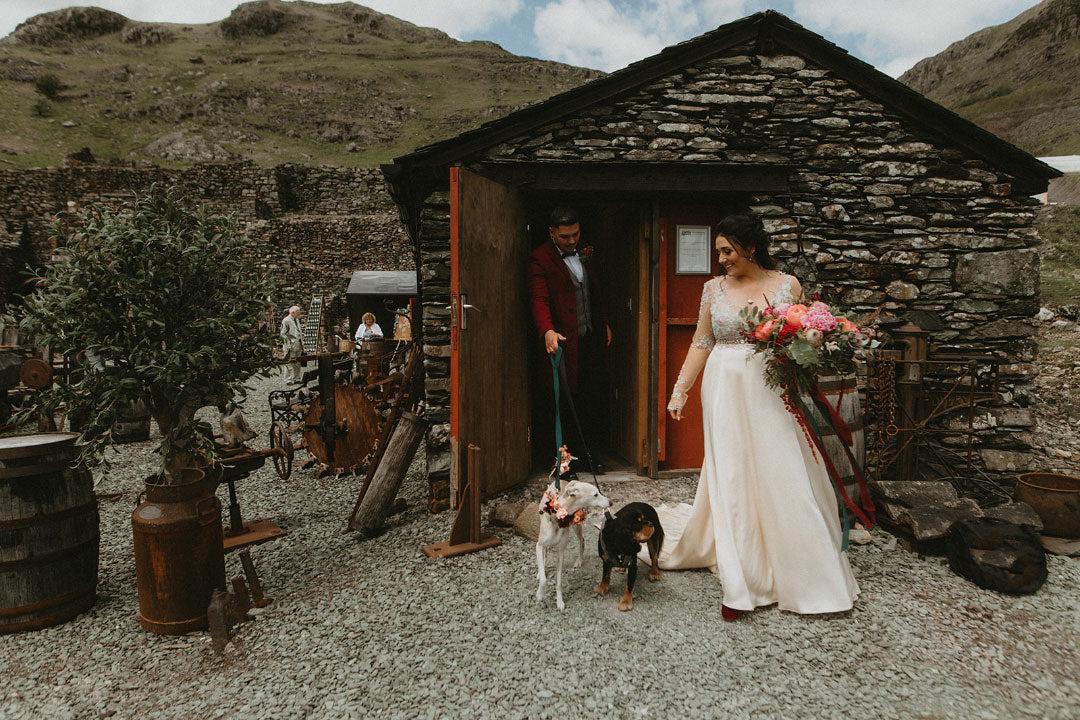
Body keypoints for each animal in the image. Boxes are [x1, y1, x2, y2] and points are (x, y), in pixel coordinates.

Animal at [535, 481, 613, 613]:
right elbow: (544, 579)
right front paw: (540, 594)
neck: (558, 518)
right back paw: (541, 571)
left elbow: (559, 582)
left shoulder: (561, 551)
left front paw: (559, 601)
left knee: (582, 541)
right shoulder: (539, 545)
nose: (611, 502)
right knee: (545, 552)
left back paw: (579, 560)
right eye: (595, 494)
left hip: (577, 525)